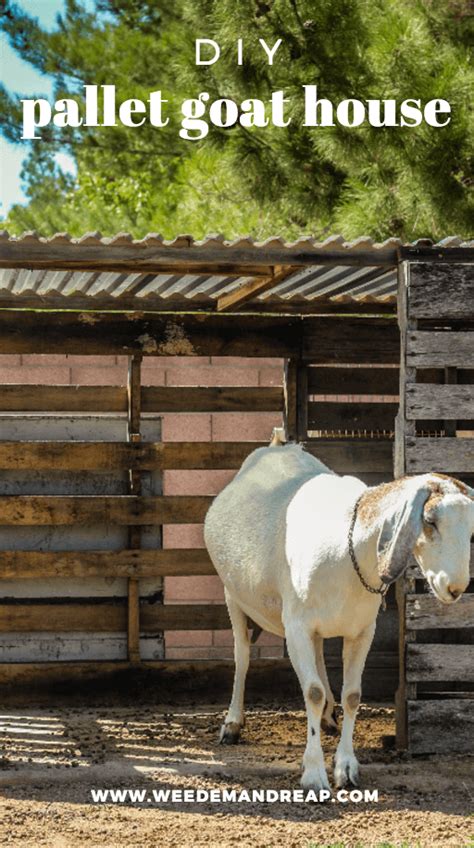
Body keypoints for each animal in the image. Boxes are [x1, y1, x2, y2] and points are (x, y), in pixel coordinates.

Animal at [205, 440, 474, 792]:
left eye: (471, 528)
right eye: (429, 520)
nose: (455, 587)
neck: (348, 550)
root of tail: (278, 443)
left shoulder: (362, 630)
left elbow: (352, 695)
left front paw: (346, 767)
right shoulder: (296, 626)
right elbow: (312, 691)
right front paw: (314, 774)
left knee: (319, 657)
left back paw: (328, 717)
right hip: (231, 595)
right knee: (242, 656)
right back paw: (233, 724)